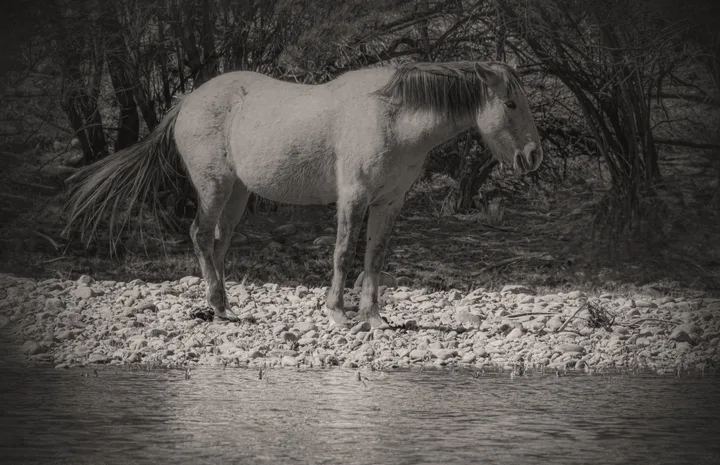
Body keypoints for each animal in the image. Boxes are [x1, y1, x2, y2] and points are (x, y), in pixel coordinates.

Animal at [64, 60, 543, 328]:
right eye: (510, 104)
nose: (533, 156)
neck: (393, 114)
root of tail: (187, 101)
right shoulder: (353, 198)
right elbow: (344, 252)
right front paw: (337, 313)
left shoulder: (388, 204)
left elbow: (375, 257)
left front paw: (374, 318)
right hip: (214, 187)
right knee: (200, 236)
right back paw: (216, 304)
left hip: (238, 194)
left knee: (219, 243)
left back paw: (224, 307)